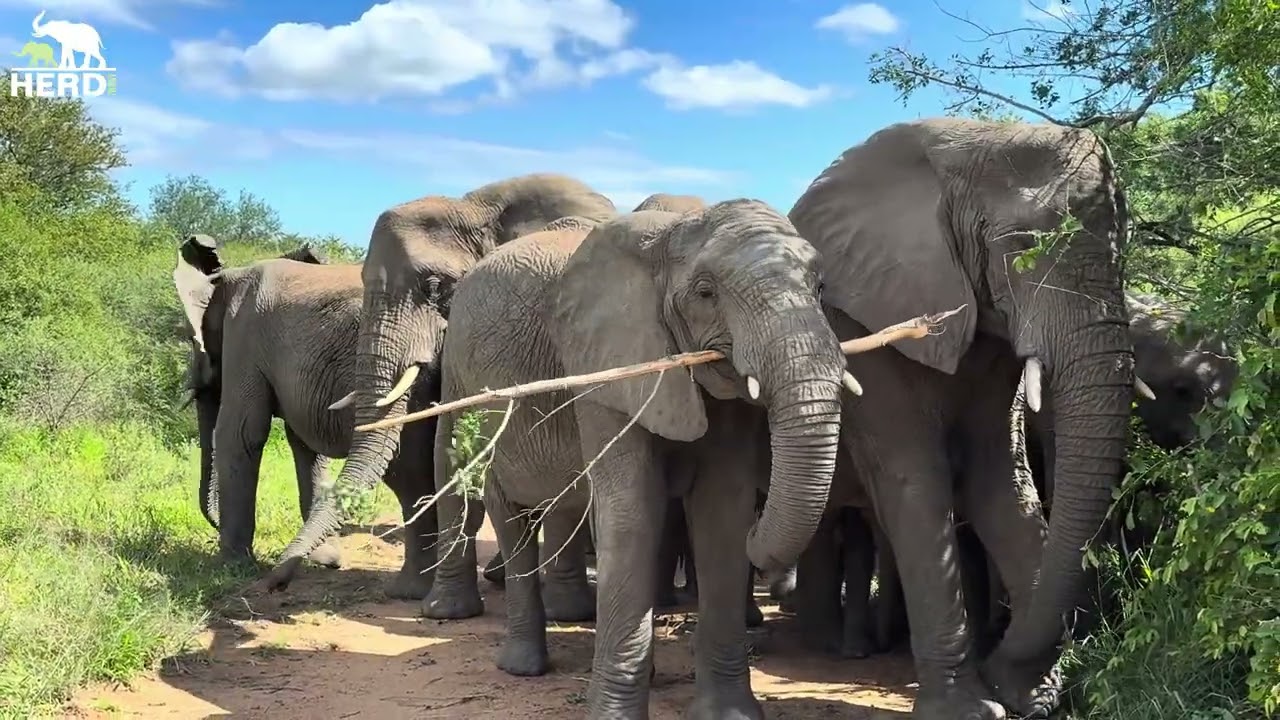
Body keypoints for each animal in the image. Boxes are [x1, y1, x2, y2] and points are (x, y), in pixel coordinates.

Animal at [172, 234, 438, 599]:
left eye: (190, 337)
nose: (273, 583)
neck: (228, 277)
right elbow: (305, 446)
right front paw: (326, 559)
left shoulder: (244, 336)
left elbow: (240, 433)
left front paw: (231, 569)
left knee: (409, 469)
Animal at [257, 174, 619, 615]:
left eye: (433, 287)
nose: (273, 583)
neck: (478, 206)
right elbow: (438, 447)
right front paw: (432, 605)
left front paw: (441, 610)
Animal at [417, 200, 854, 718]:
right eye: (705, 293)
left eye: (820, 287)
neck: (669, 239)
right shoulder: (602, 368)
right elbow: (632, 512)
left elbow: (722, 513)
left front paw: (730, 714)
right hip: (464, 383)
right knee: (505, 510)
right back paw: (521, 666)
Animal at [788, 117, 1142, 719]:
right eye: (1021, 248)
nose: (998, 667)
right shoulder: (857, 324)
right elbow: (916, 483)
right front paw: (972, 707)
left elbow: (1000, 481)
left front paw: (1034, 697)